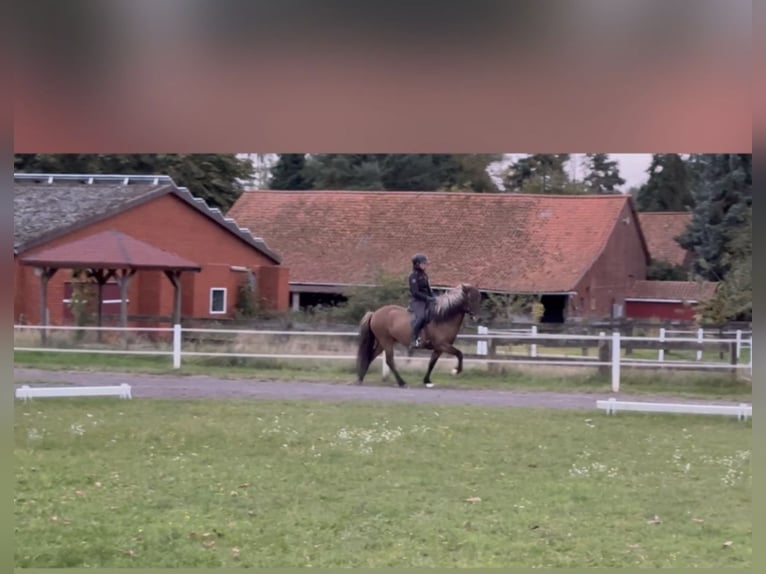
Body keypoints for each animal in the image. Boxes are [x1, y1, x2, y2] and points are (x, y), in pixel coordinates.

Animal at [356, 284, 484, 390]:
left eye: (479, 298)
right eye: (471, 298)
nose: (477, 318)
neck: (442, 318)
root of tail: (374, 313)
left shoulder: (438, 349)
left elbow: (432, 363)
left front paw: (427, 381)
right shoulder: (442, 345)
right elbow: (459, 354)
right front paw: (456, 370)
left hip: (382, 342)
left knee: (371, 356)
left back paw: (360, 378)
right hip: (386, 341)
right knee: (389, 361)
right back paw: (402, 382)